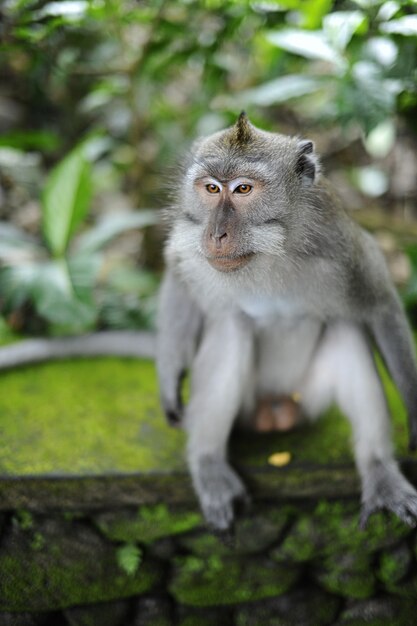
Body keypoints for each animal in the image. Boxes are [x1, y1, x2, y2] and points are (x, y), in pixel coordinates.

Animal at [156, 111, 416, 528]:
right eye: (211, 188)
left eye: (243, 189)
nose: (216, 234)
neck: (272, 249)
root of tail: (276, 411)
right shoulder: (189, 236)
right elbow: (178, 275)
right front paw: (169, 377)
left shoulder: (341, 245)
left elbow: (379, 305)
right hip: (248, 407)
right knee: (233, 328)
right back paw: (208, 463)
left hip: (308, 398)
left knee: (346, 327)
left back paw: (380, 473)